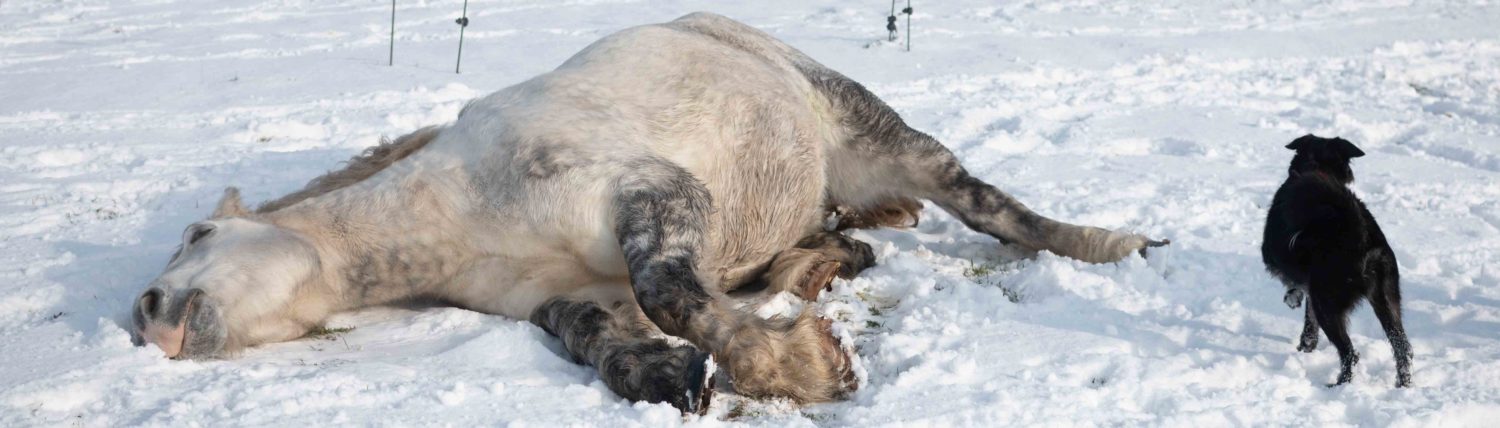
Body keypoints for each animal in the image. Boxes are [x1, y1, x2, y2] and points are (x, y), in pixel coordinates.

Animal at [132, 14, 1158, 414]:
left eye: (195, 235)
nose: (147, 318)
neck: (461, 207)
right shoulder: (560, 297)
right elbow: (608, 345)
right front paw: (676, 374)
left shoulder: (657, 197)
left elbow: (672, 294)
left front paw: (802, 366)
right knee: (826, 238)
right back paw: (815, 266)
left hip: (881, 136)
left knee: (991, 207)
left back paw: (1108, 244)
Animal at [1260, 134, 1410, 387]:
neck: (1318, 168)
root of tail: (1361, 240)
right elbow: (1309, 322)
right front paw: (1307, 345)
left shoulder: (1276, 257)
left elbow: (1294, 286)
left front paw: (1292, 297)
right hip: (1388, 299)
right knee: (1402, 347)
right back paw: (1403, 384)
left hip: (1328, 303)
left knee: (1349, 352)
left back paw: (1339, 384)